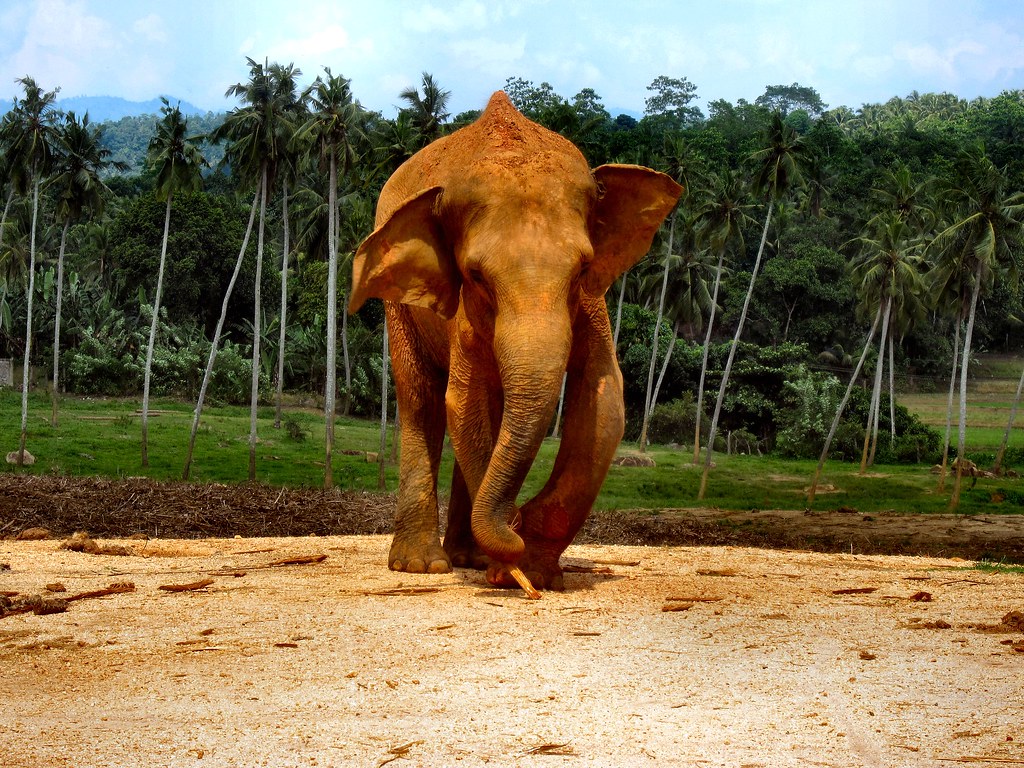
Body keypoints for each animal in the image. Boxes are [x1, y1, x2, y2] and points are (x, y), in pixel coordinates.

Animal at [349, 91, 682, 592]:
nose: (515, 522)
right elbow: (463, 402)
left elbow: (604, 399)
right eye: (475, 275)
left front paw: (532, 570)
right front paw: (511, 565)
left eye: (582, 269)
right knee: (421, 399)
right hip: (397, 306)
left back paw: (466, 557)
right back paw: (423, 565)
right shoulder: (465, 313)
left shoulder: (592, 304)